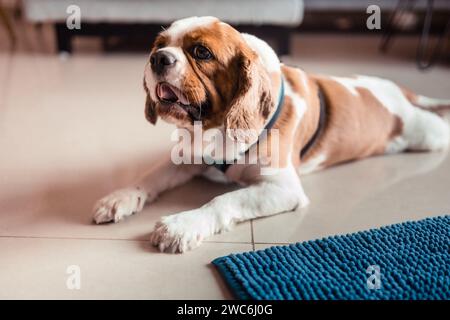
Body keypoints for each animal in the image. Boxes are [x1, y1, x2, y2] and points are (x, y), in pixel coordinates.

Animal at [92, 16, 450, 252]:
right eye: (159, 45)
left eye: (201, 52)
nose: (157, 58)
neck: (217, 128)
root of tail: (399, 90)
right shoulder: (186, 158)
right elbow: (150, 177)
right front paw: (121, 197)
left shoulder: (283, 188)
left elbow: (222, 200)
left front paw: (183, 224)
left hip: (430, 135)